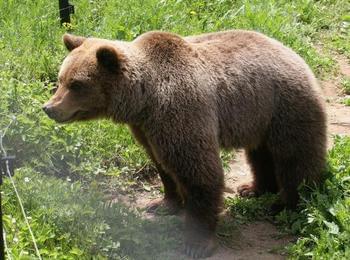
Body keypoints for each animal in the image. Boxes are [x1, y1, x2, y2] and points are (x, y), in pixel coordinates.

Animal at [43, 30, 328, 258]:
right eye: (61, 78)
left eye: (76, 84)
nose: (49, 108)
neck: (144, 99)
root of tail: (294, 52)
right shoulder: (146, 128)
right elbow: (162, 164)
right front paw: (164, 203)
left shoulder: (180, 109)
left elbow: (198, 170)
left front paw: (196, 242)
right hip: (257, 116)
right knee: (261, 153)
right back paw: (253, 188)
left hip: (283, 104)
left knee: (295, 157)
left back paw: (287, 204)